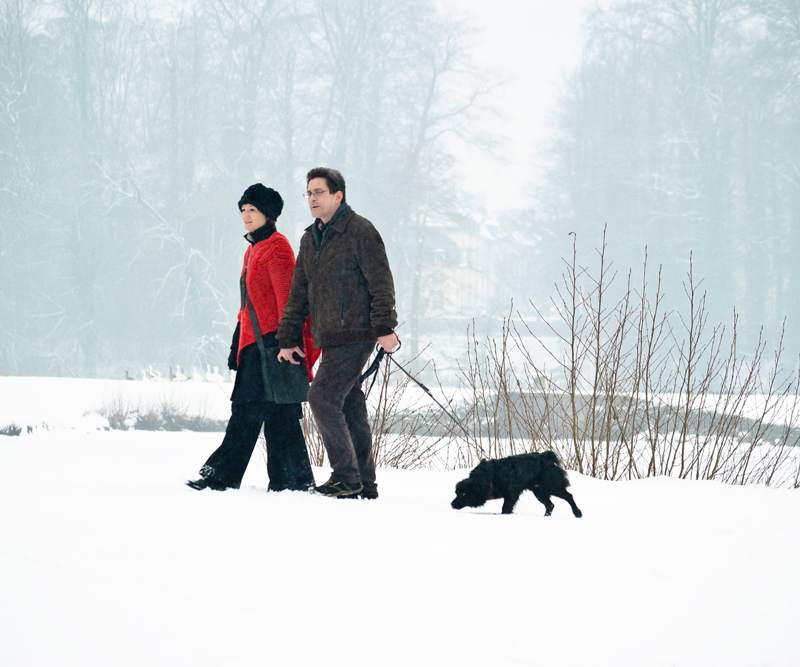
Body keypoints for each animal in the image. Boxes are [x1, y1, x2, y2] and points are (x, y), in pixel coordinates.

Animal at [450, 452, 580, 520]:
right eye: (456, 493)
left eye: (463, 494)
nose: (452, 504)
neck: (487, 479)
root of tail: (545, 457)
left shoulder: (511, 494)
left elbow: (505, 508)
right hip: (539, 492)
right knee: (550, 505)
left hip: (552, 487)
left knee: (569, 496)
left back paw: (577, 513)